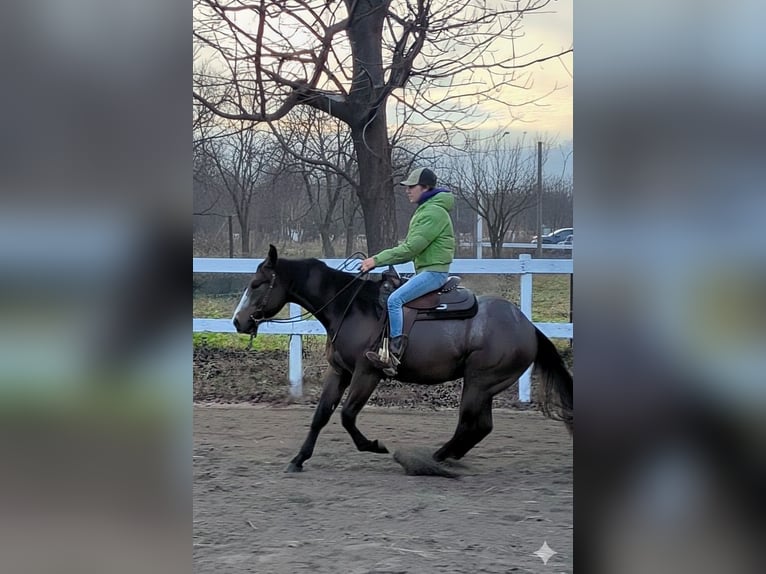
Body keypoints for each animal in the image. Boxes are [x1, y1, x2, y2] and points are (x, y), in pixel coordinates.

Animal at [233, 245, 573, 473]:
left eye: (257, 284)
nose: (238, 321)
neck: (351, 307)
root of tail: (528, 326)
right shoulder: (339, 372)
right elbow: (321, 416)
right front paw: (299, 459)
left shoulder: (368, 373)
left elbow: (347, 416)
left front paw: (374, 446)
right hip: (484, 387)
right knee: (481, 426)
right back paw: (446, 456)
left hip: (478, 383)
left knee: (470, 424)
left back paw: (435, 458)